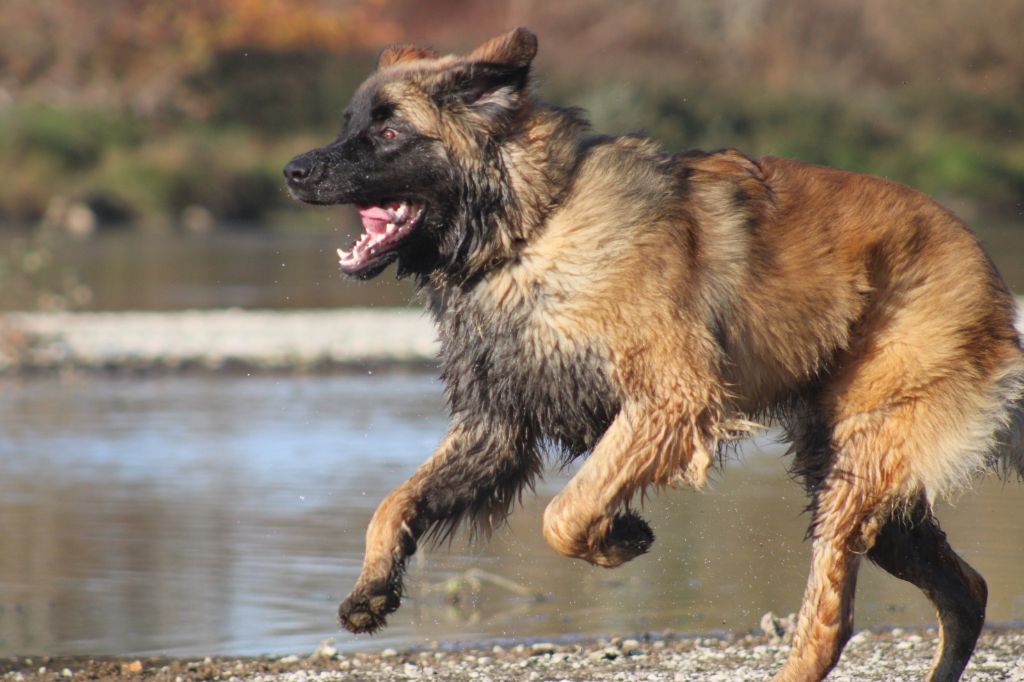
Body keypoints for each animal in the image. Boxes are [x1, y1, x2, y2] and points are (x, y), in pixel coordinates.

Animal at [282, 27, 1024, 679]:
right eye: (350, 123)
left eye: (388, 132)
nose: (292, 171)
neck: (531, 229)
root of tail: (991, 281)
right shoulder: (498, 427)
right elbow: (396, 501)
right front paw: (372, 589)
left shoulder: (669, 400)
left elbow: (565, 513)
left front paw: (622, 536)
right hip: (860, 480)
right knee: (968, 592)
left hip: (856, 471)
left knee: (830, 621)